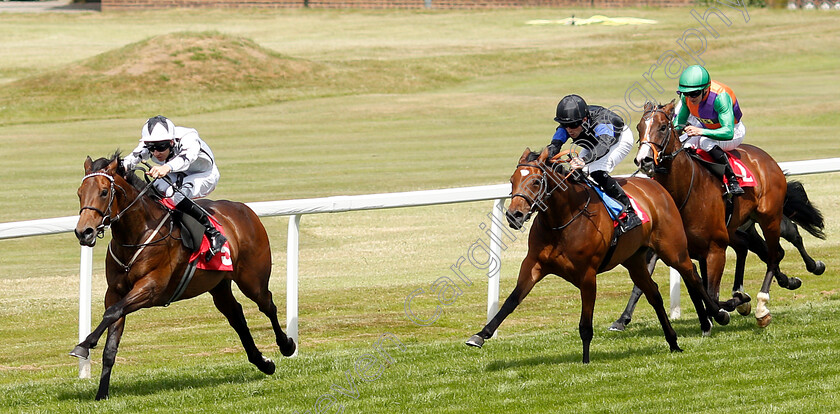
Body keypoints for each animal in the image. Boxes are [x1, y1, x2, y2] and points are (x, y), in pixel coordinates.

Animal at [72, 153, 296, 402]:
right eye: (80, 192)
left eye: (104, 192)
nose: (84, 232)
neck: (136, 236)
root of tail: (244, 209)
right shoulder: (115, 292)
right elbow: (111, 335)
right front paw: (101, 392)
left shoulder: (151, 288)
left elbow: (111, 313)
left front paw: (83, 345)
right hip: (219, 284)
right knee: (236, 314)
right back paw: (263, 363)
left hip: (252, 279)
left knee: (267, 305)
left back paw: (286, 345)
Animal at [466, 147, 728, 364]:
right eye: (512, 181)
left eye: (537, 181)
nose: (514, 216)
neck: (562, 220)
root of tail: (656, 187)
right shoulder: (534, 264)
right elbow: (511, 301)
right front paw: (480, 335)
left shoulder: (587, 275)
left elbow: (585, 323)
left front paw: (585, 361)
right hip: (634, 260)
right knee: (653, 293)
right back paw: (673, 342)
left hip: (672, 249)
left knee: (693, 275)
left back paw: (718, 314)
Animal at [632, 101, 824, 326]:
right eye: (639, 127)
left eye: (663, 127)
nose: (643, 160)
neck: (685, 192)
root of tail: (765, 158)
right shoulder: (686, 252)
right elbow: (703, 292)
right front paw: (737, 300)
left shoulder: (715, 248)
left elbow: (712, 297)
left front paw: (735, 304)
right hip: (741, 225)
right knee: (760, 249)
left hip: (769, 217)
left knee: (775, 252)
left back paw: (763, 305)